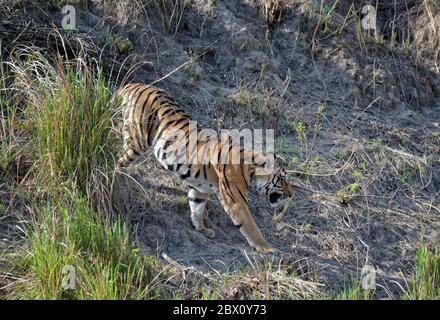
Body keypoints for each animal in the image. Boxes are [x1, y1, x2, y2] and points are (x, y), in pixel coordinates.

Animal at [114, 82, 292, 252]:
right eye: (283, 180)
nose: (291, 195)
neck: (251, 171)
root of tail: (133, 85)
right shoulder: (236, 202)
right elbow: (250, 225)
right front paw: (266, 247)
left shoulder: (200, 188)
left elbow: (196, 208)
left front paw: (202, 230)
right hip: (137, 140)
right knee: (118, 160)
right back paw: (117, 179)